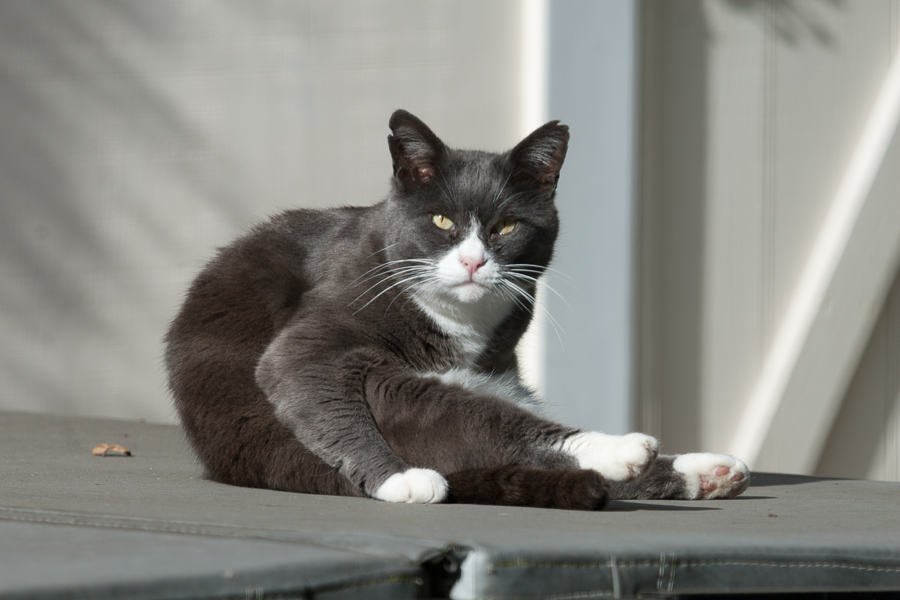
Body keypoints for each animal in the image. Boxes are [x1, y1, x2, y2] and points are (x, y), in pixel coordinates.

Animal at [165, 109, 748, 510]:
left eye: (507, 226)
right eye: (442, 221)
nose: (472, 260)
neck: (461, 321)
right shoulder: (310, 343)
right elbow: (320, 392)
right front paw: (397, 479)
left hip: (502, 381)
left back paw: (706, 471)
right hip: (391, 387)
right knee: (479, 422)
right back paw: (623, 450)